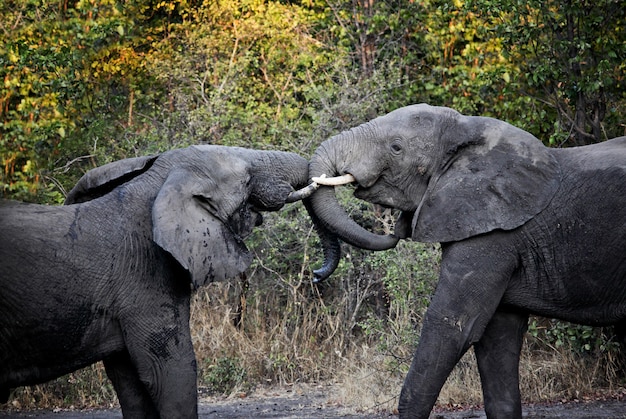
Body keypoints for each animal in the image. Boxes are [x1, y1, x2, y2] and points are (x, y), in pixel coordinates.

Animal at [302, 103, 624, 418]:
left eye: (396, 148)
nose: (316, 275)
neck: (466, 129)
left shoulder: (494, 233)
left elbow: (452, 325)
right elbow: (497, 336)